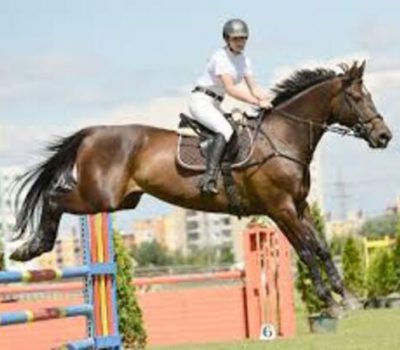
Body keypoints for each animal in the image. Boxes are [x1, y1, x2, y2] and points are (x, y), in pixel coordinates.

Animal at [10, 60, 392, 318]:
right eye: (357, 97)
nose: (384, 136)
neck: (284, 138)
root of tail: (93, 132)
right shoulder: (280, 208)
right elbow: (307, 252)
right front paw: (332, 304)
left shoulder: (299, 207)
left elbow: (323, 249)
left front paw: (348, 298)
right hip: (99, 196)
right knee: (53, 197)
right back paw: (31, 247)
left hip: (120, 200)